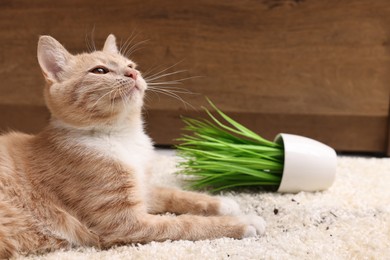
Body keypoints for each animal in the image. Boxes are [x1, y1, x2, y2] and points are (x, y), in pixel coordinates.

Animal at [0, 34, 266, 258]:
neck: (122, 137)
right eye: (100, 70)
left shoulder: (143, 189)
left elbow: (175, 194)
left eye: (131, 65)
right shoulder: (126, 223)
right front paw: (243, 222)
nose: (133, 74)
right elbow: (185, 223)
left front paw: (224, 203)